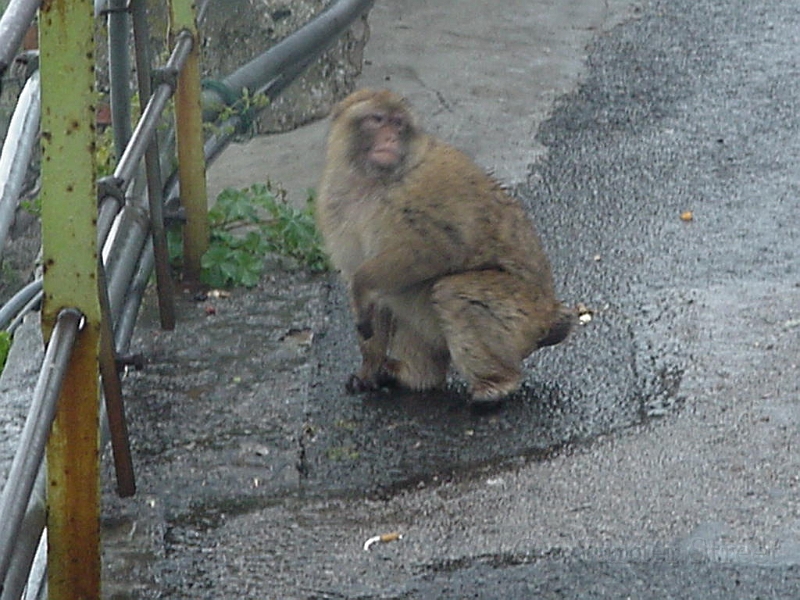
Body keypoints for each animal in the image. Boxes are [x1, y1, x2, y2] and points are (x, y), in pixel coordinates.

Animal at [316, 89, 572, 404]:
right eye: (377, 120)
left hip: (524, 317)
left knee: (451, 292)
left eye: (398, 124)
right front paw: (369, 368)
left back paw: (497, 382)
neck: (371, 181)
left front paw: (363, 284)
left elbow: (439, 251)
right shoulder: (334, 206)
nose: (390, 139)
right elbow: (368, 293)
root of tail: (549, 316)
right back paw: (410, 375)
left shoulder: (423, 192)